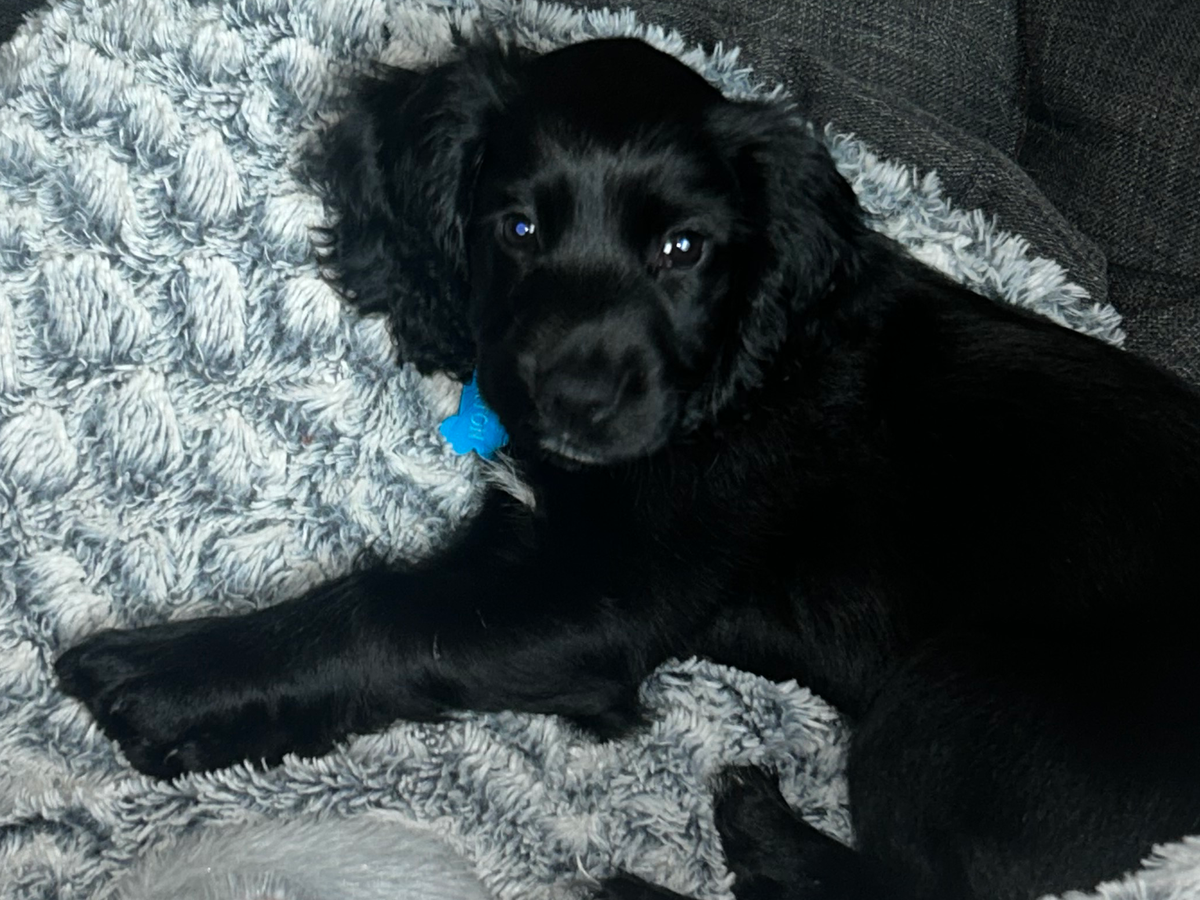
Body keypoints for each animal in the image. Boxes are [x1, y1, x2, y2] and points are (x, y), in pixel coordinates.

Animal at [55, 37, 1200, 900]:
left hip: (962, 702)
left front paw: (163, 677)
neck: (744, 368)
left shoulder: (597, 599)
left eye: (683, 250)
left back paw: (742, 841)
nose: (575, 401)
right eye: (517, 227)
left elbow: (383, 612)